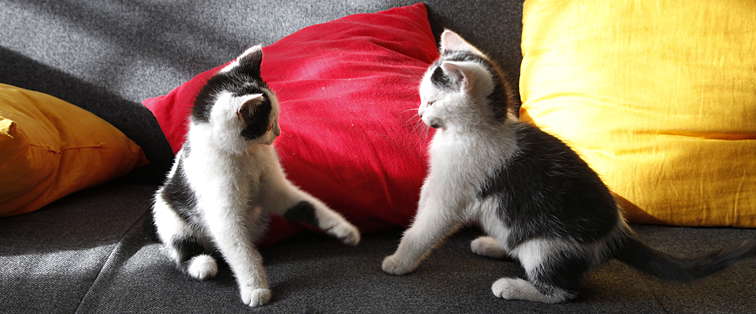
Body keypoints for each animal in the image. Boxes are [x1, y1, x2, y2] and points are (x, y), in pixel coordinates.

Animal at [153, 46, 360, 306]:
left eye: (276, 120)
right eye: (267, 125)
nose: (279, 132)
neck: (245, 155)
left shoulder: (273, 187)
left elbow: (306, 204)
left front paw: (344, 229)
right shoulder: (221, 208)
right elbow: (239, 250)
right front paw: (255, 288)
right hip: (165, 211)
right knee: (182, 247)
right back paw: (202, 264)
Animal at [384, 30, 756, 302]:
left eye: (432, 100)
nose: (420, 113)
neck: (475, 131)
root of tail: (617, 233)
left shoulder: (454, 192)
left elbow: (426, 227)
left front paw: (400, 260)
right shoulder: (436, 181)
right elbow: (420, 211)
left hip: (550, 245)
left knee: (565, 291)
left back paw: (514, 287)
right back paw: (495, 244)